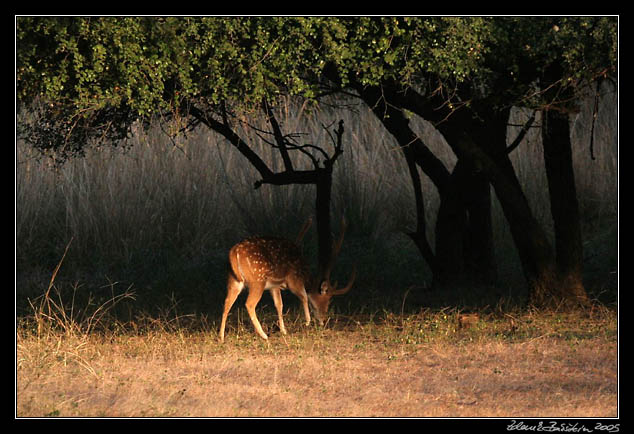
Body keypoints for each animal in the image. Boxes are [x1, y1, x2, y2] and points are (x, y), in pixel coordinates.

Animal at [220, 219, 354, 340]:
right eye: (327, 299)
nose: (323, 320)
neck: (304, 271)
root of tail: (234, 253)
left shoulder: (274, 286)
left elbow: (279, 304)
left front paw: (284, 330)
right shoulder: (293, 279)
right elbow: (304, 296)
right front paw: (307, 321)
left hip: (234, 280)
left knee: (227, 302)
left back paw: (221, 337)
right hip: (257, 280)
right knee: (249, 303)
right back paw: (263, 335)